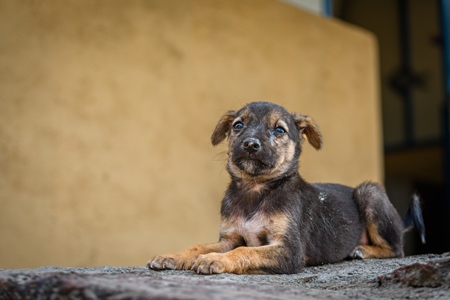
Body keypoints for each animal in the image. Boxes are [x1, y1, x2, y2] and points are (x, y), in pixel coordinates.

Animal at [148, 101, 426, 274]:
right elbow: (199, 246)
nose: (250, 144)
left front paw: (215, 259)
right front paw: (173, 256)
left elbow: (245, 251)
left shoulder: (290, 250)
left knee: (397, 249)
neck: (255, 190)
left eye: (279, 130)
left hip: (370, 192)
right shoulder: (229, 238)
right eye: (238, 125)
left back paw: (362, 250)